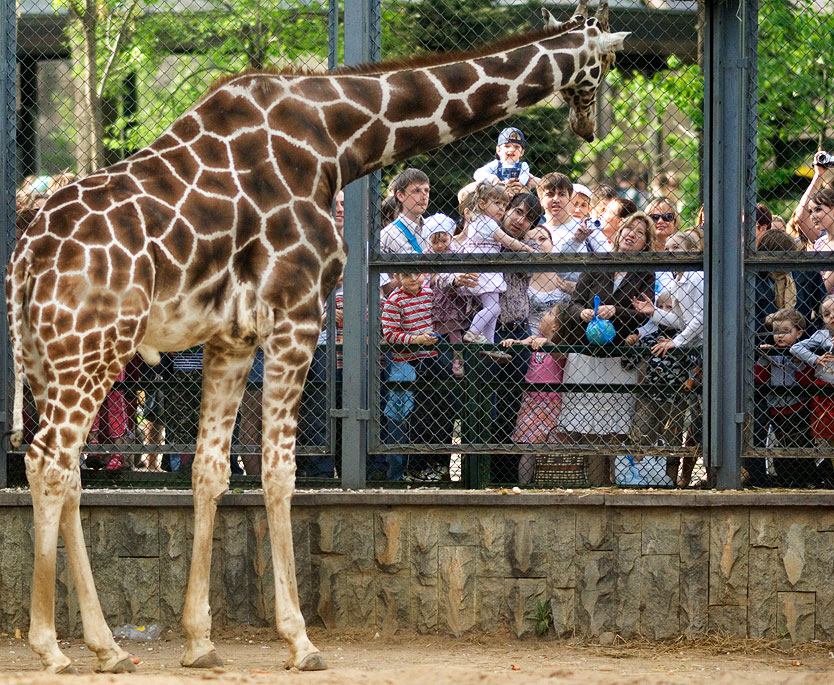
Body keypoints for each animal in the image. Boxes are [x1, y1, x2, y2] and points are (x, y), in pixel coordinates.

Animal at [6, 1, 624, 672]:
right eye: (606, 63)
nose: (591, 126)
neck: (338, 139)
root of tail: (26, 255)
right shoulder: (298, 316)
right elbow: (280, 471)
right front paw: (299, 639)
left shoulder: (232, 338)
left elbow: (211, 471)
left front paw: (200, 641)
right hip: (93, 346)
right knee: (48, 462)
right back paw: (50, 646)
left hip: (52, 357)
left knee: (68, 470)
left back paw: (107, 646)